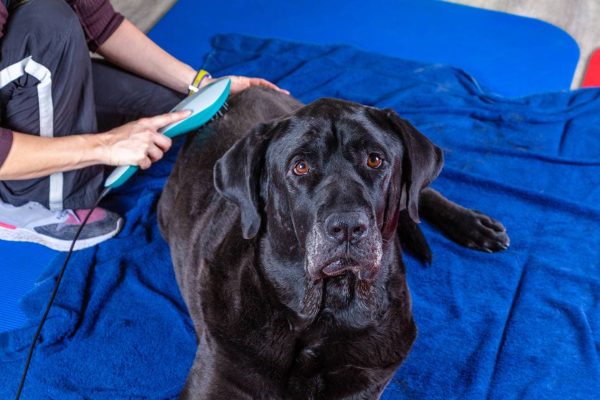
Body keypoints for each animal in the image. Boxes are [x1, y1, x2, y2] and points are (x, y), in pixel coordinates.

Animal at [157, 86, 508, 396]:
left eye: (375, 160)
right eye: (300, 166)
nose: (348, 227)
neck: (327, 311)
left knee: (418, 196)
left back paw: (473, 224)